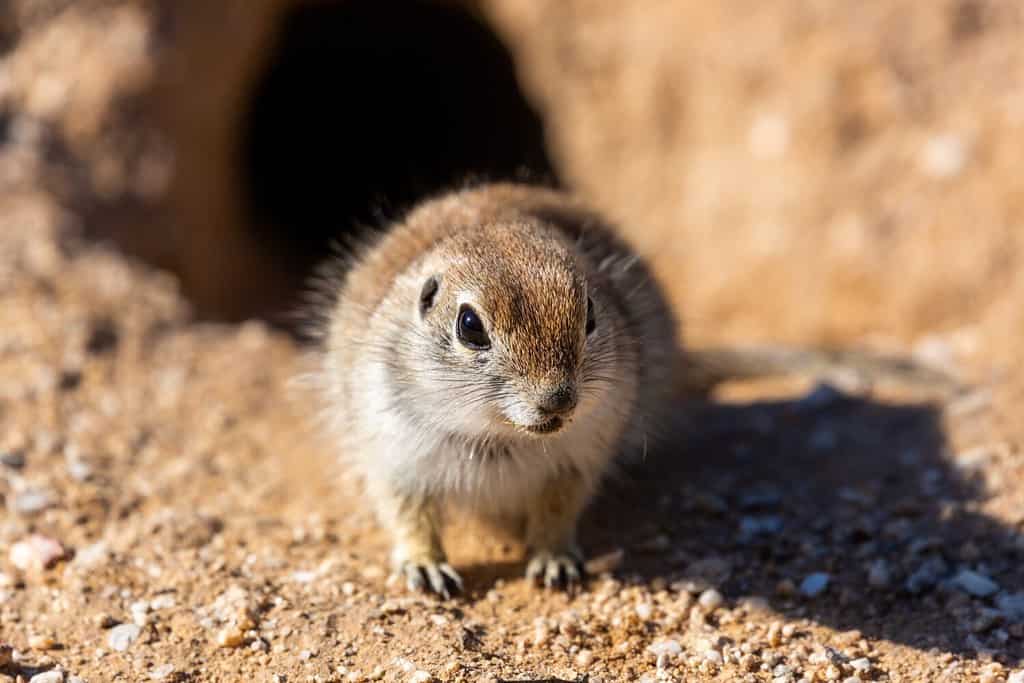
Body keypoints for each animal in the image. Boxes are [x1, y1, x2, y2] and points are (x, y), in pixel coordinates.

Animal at [306, 182, 960, 597]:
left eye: (591, 314)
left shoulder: (579, 456)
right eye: (469, 325)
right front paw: (428, 571)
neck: (502, 437)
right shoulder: (394, 450)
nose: (559, 400)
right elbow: (407, 514)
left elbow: (557, 509)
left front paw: (554, 563)